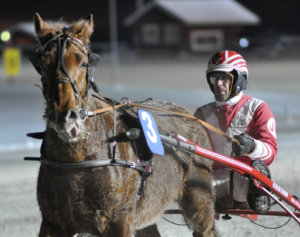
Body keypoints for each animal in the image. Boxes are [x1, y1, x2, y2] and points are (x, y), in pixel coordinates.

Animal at [30, 12, 217, 237]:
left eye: (83, 63)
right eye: (42, 64)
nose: (66, 117)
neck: (77, 159)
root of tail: (190, 116)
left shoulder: (119, 220)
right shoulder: (53, 223)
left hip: (199, 198)